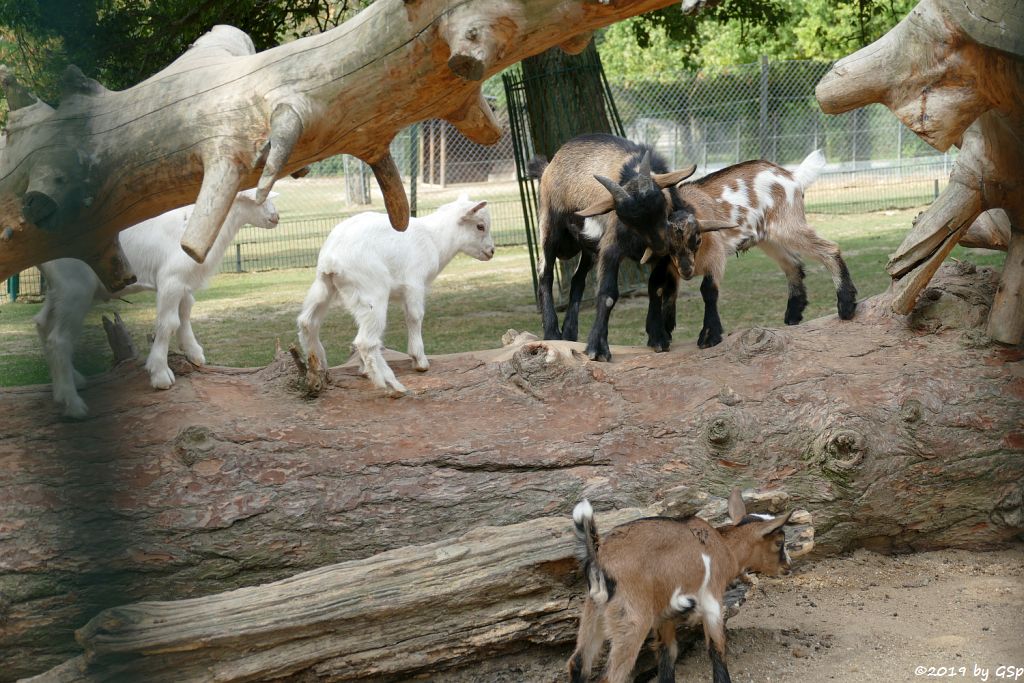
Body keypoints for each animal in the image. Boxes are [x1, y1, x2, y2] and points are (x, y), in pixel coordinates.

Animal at [528, 131, 729, 360]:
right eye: (627, 220)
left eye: (662, 205)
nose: (660, 247)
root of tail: (548, 166)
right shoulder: (611, 248)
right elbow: (607, 294)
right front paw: (597, 348)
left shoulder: (661, 257)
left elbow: (656, 288)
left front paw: (657, 337)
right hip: (549, 227)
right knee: (545, 273)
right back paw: (552, 332)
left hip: (588, 248)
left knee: (577, 279)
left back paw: (570, 333)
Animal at [569, 489, 790, 683]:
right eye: (779, 542)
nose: (787, 566)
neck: (725, 548)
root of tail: (599, 558)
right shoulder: (712, 601)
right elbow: (717, 648)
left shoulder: (664, 617)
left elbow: (668, 655)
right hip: (633, 619)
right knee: (609, 677)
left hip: (595, 612)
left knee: (578, 664)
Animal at [651, 151, 860, 350]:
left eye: (697, 240)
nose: (687, 271)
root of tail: (792, 176)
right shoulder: (670, 266)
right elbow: (665, 291)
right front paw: (661, 336)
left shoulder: (716, 256)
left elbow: (708, 290)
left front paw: (709, 337)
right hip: (768, 238)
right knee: (793, 265)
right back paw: (794, 314)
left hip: (788, 226)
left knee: (829, 249)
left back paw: (846, 305)